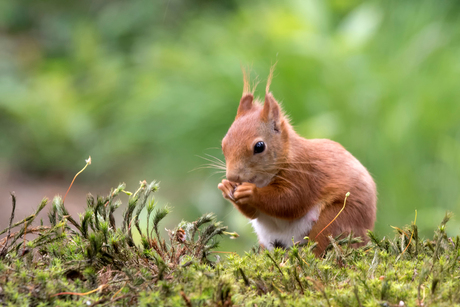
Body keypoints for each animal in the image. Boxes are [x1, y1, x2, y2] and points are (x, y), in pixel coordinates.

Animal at [217, 70, 376, 258]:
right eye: (223, 143)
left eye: (259, 146)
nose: (232, 176)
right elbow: (253, 213)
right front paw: (226, 187)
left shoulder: (303, 174)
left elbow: (290, 202)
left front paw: (251, 191)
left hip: (336, 220)